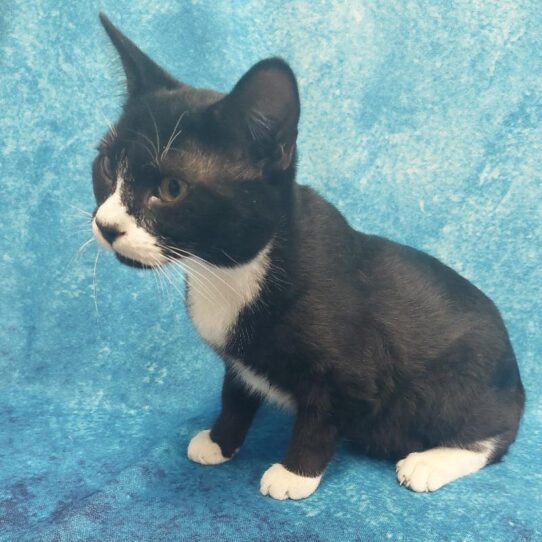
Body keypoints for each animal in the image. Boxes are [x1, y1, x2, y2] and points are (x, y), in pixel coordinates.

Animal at [92, 12, 528, 504]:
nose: (106, 225)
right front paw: (221, 440)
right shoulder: (239, 363)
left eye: (171, 189)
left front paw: (295, 473)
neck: (231, 271)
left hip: (465, 382)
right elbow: (235, 395)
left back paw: (429, 462)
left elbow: (322, 416)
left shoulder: (352, 371)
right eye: (106, 166)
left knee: (492, 434)